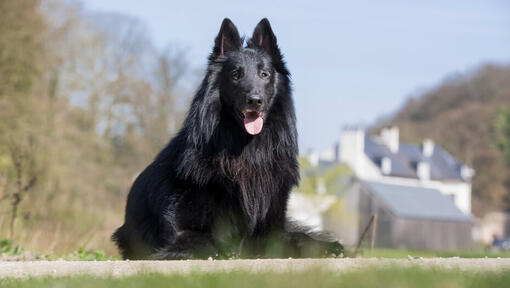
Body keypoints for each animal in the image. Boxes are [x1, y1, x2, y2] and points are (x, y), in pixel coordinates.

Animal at [111, 18, 342, 260]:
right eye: (235, 75)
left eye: (264, 74)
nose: (254, 100)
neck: (247, 152)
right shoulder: (184, 233)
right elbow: (207, 242)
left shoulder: (270, 229)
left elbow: (295, 239)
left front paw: (327, 247)